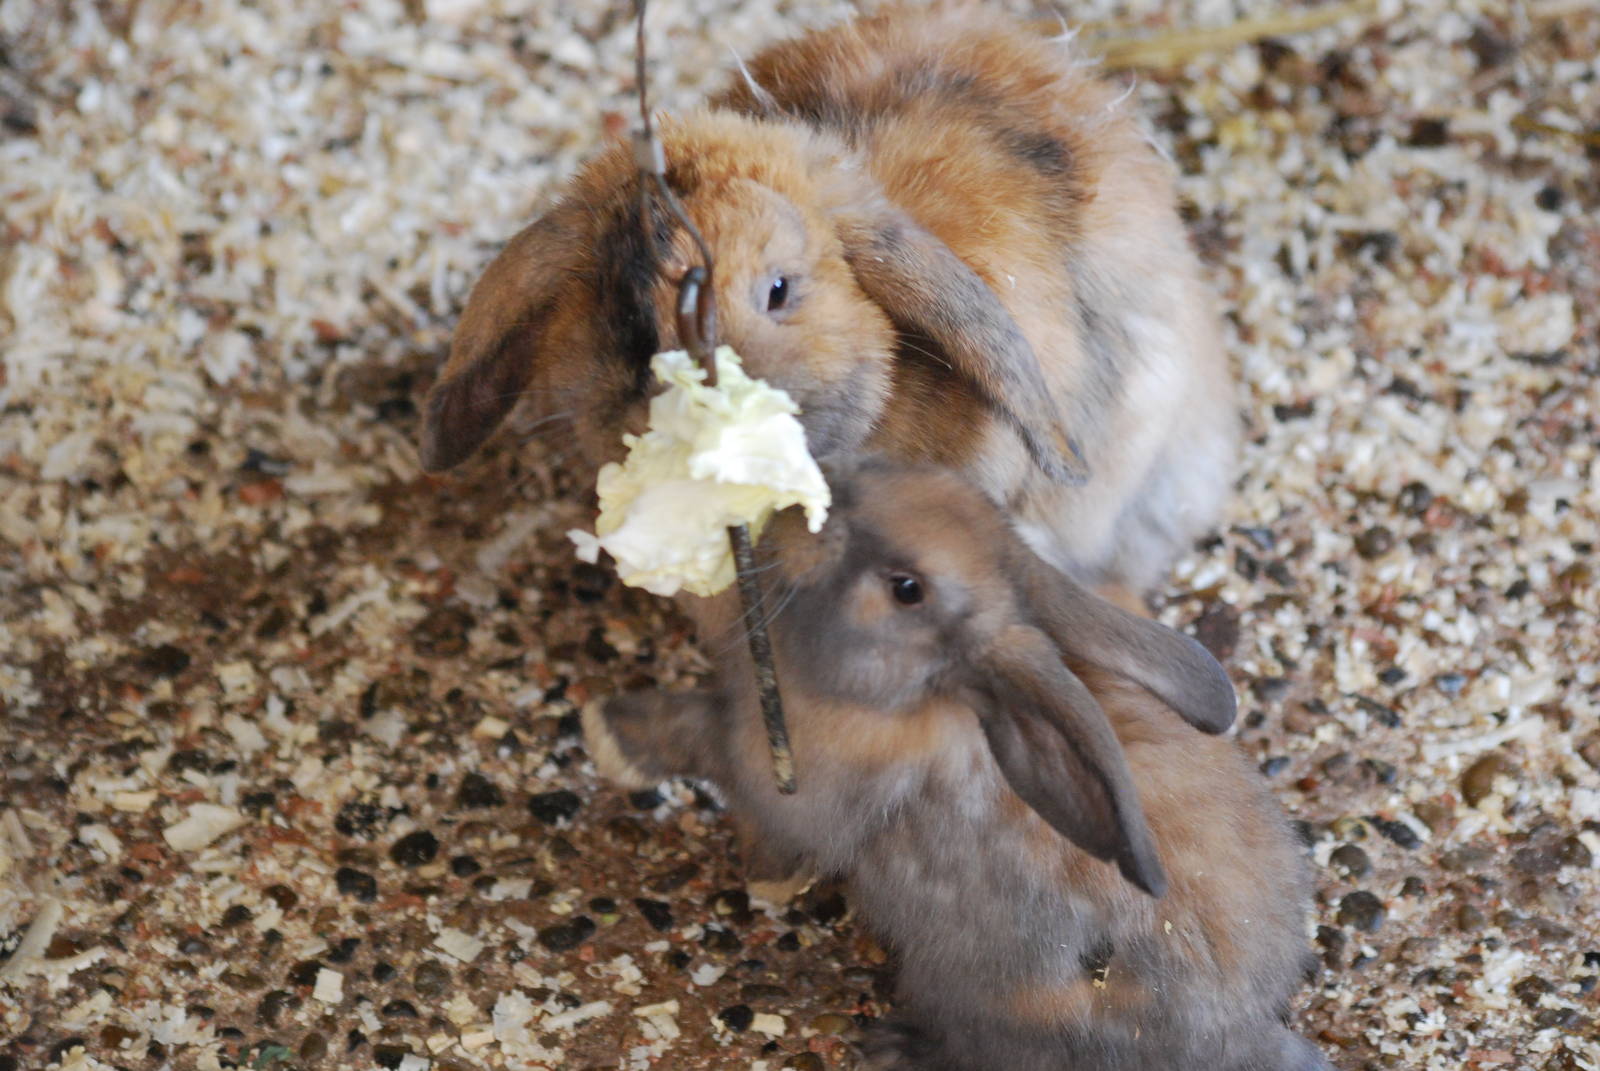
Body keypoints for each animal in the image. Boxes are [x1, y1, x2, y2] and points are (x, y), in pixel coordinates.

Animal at [582, 459, 1328, 1071]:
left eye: (907, 587)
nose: (819, 499)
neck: (923, 696)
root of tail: (1241, 1039)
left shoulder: (775, 773)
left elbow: (700, 735)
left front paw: (608, 731)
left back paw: (891, 1046)